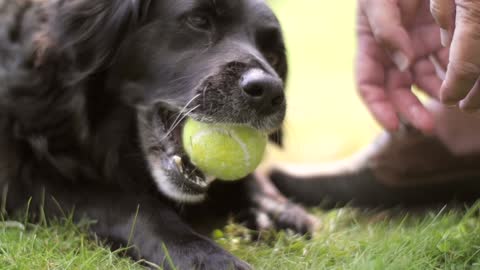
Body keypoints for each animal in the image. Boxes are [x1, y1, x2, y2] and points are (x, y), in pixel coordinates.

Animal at [1, 0, 316, 268]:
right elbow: (130, 206)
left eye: (273, 56)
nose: (269, 93)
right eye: (199, 20)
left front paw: (276, 210)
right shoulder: (22, 181)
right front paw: (203, 254)